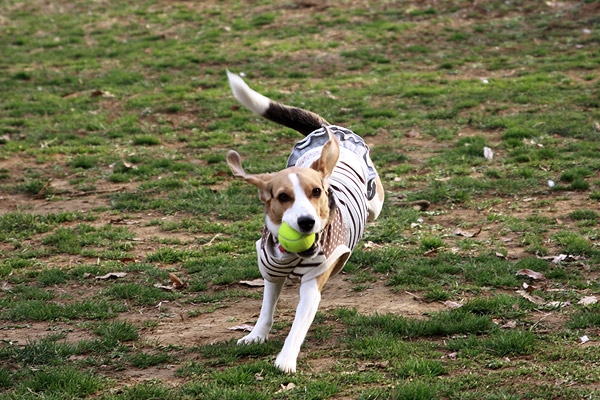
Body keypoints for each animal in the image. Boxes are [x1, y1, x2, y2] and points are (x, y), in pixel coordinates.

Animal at [225, 70, 384, 374]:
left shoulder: (312, 285)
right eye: (283, 197)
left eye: (317, 192)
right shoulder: (270, 271)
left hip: (374, 200)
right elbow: (266, 309)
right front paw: (256, 335)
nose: (307, 222)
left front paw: (285, 360)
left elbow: (298, 326)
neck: (293, 256)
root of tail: (325, 130)